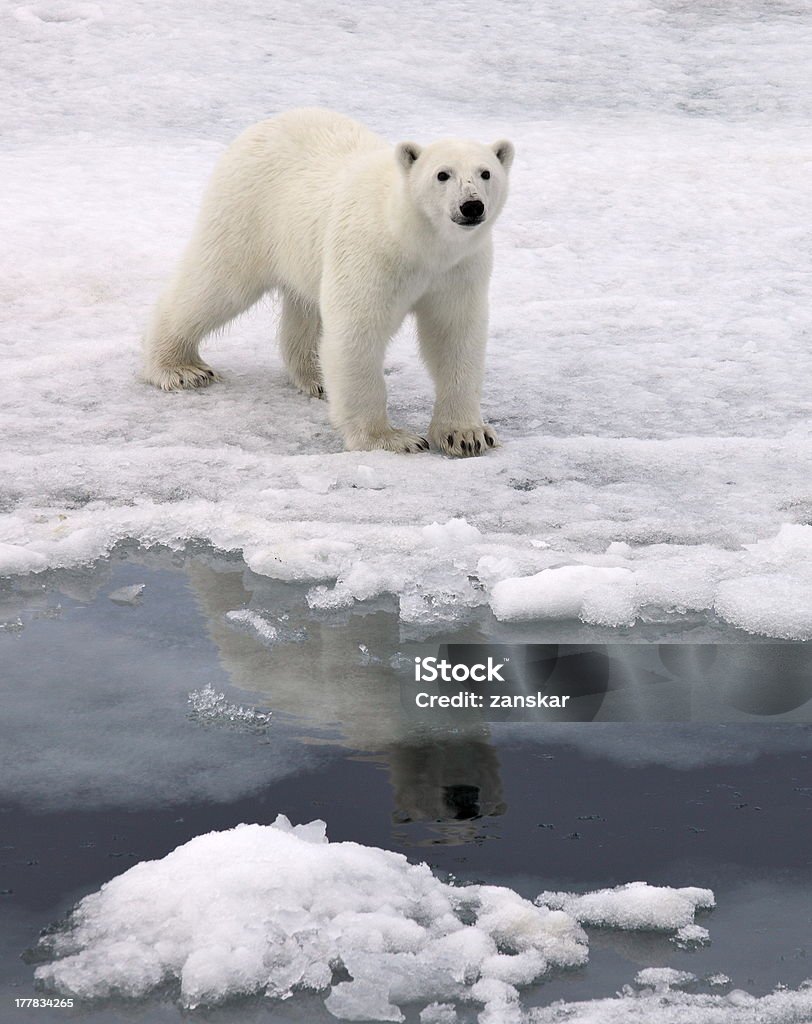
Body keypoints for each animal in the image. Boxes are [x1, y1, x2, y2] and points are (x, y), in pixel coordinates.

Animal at [142, 108, 514, 456]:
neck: (417, 241)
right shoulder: (372, 254)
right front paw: (391, 439)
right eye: (442, 174)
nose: (471, 206)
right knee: (217, 284)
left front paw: (467, 435)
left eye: (485, 172)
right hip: (249, 211)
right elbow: (357, 332)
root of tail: (262, 126)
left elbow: (455, 335)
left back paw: (317, 377)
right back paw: (179, 368)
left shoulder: (458, 270)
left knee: (304, 307)